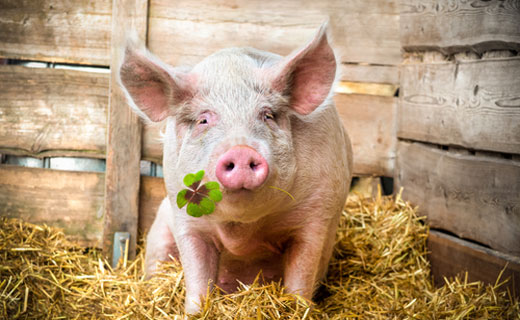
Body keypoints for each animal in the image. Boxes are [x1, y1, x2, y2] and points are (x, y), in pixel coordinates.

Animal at [118, 23, 354, 314]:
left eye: (267, 115)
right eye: (204, 120)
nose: (241, 150)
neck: (242, 229)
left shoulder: (316, 215)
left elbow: (301, 274)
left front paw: (297, 308)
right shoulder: (184, 216)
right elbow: (197, 275)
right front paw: (195, 312)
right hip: (160, 226)